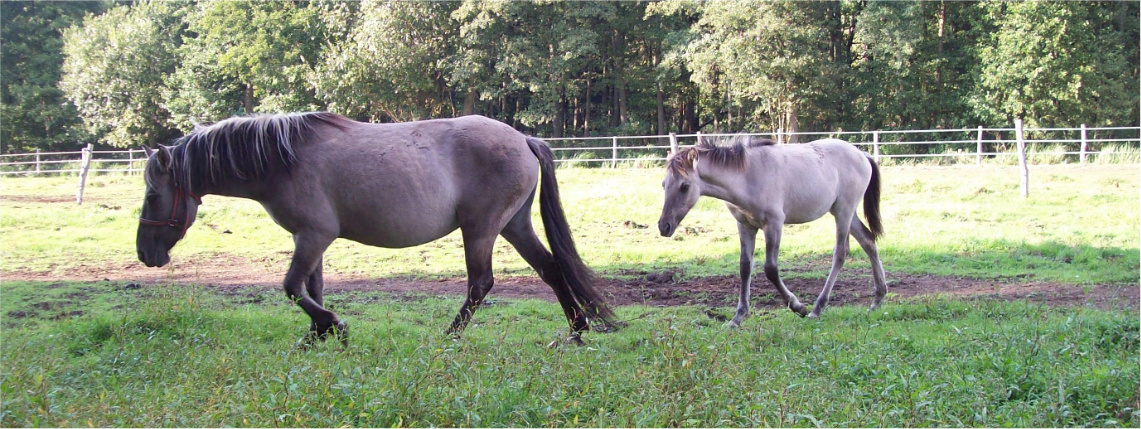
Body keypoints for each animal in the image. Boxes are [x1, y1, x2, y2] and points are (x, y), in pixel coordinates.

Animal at [139, 111, 620, 344]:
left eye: (151, 195)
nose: (146, 254)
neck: (284, 159)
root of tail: (523, 138)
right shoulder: (311, 239)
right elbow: (312, 289)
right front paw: (317, 335)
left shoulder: (313, 236)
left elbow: (293, 288)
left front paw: (333, 327)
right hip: (514, 226)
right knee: (551, 269)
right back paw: (577, 331)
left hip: (481, 229)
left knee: (480, 283)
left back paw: (449, 336)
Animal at [657, 135, 885, 326]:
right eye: (663, 184)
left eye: (685, 186)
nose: (663, 226)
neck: (747, 176)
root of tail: (862, 155)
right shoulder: (745, 225)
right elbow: (745, 267)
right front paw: (738, 317)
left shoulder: (774, 223)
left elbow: (771, 269)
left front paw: (798, 306)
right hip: (846, 213)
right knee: (868, 242)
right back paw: (878, 299)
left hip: (843, 211)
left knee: (840, 253)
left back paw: (817, 308)